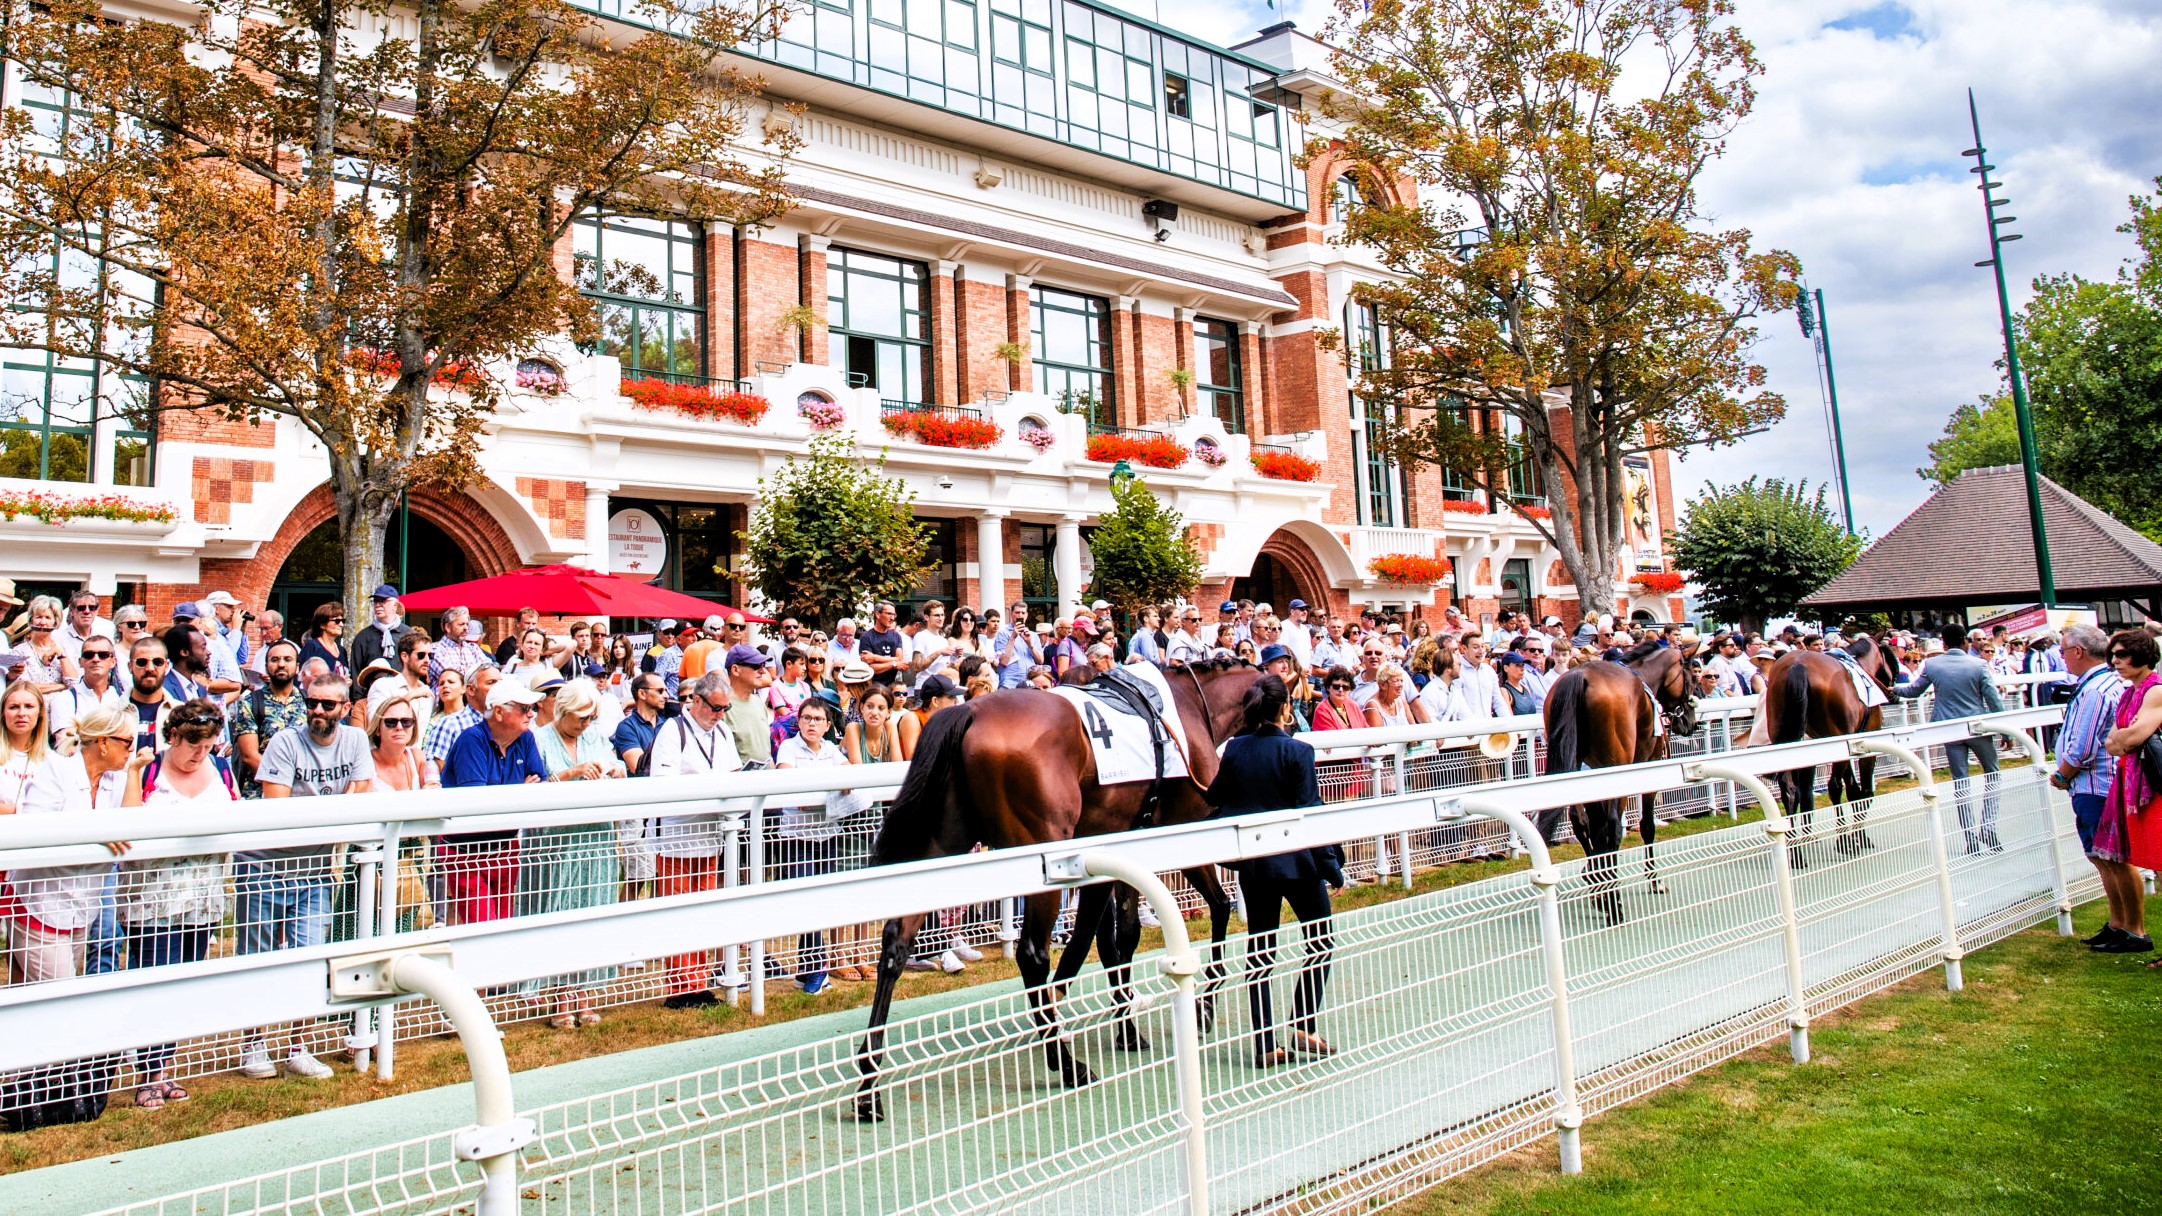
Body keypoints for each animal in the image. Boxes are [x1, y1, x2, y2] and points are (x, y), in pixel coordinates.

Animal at [847, 653, 1262, 1116]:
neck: (1190, 705)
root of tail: (968, 712)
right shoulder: (1178, 831)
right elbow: (1205, 910)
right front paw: (1201, 1004)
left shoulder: (1116, 847)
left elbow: (1114, 938)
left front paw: (1125, 1026)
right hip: (1039, 853)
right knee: (1032, 954)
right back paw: (1066, 1062)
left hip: (942, 844)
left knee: (895, 946)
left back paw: (868, 1085)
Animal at [1547, 640, 1695, 921]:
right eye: (1693, 676)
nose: (1690, 720)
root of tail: (1579, 676)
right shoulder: (1647, 768)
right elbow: (1646, 825)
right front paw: (1654, 881)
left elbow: (1593, 825)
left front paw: (1594, 880)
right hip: (1618, 766)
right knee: (1613, 826)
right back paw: (1614, 906)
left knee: (1581, 821)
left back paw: (1602, 890)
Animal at [1764, 636, 1902, 852]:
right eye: (1893, 663)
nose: (1892, 689)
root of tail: (1798, 665)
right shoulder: (1865, 742)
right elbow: (1864, 792)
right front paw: (1858, 839)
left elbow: (1852, 788)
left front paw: (1855, 837)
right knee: (1834, 785)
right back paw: (1842, 842)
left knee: (1790, 790)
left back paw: (1795, 851)